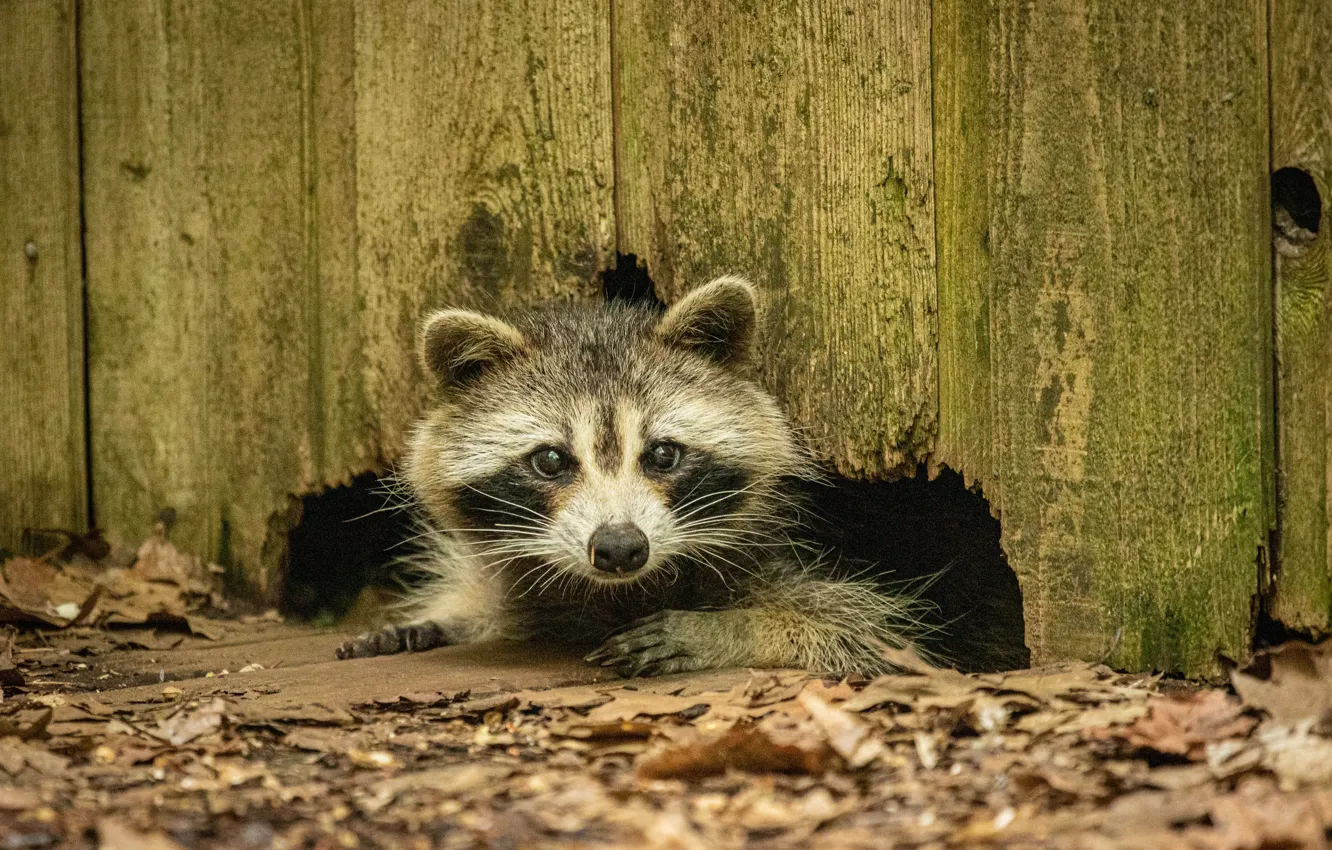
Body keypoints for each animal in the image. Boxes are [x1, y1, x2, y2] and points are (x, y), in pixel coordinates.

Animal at [336, 276, 924, 676]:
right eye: (551, 460)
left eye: (663, 454)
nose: (620, 547)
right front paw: (446, 617)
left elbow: (864, 636)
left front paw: (735, 629)